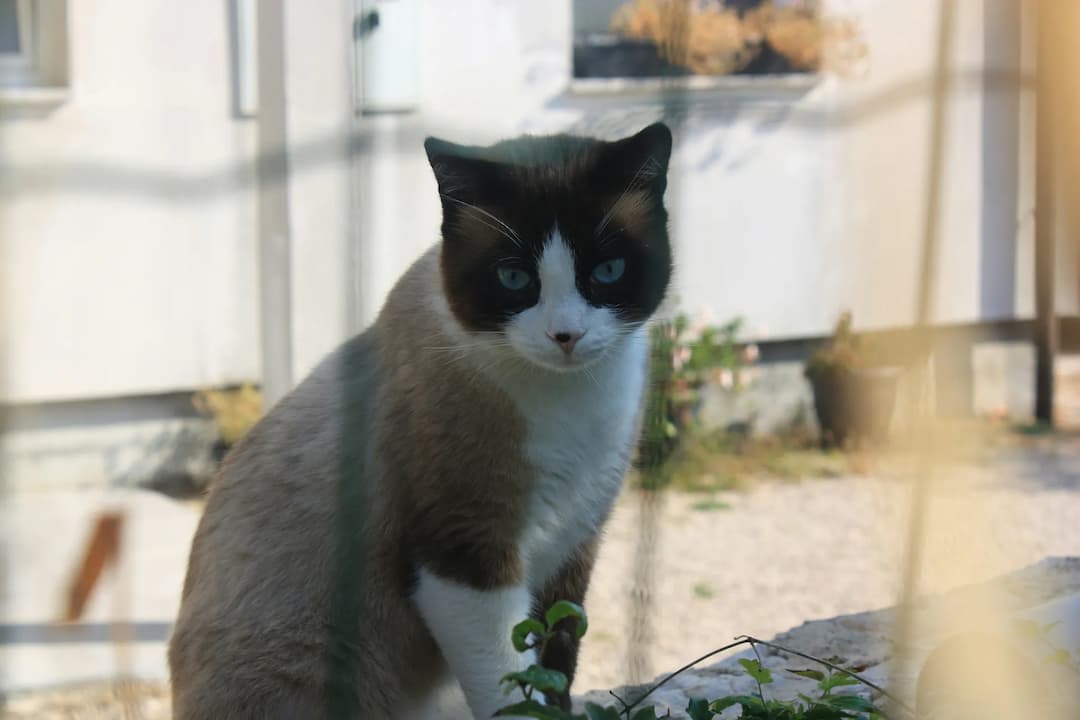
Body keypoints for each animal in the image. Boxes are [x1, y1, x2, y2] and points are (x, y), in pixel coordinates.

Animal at [166, 120, 673, 716]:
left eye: (608, 271)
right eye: (513, 279)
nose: (565, 335)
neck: (573, 399)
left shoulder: (575, 545)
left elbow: (554, 673)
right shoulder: (464, 560)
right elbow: (511, 689)